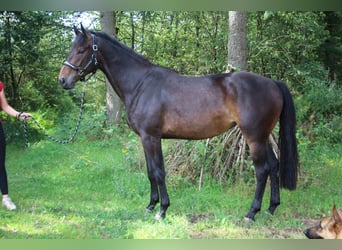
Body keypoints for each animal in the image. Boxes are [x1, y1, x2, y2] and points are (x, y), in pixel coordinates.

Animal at [57, 25, 298, 221]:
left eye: (81, 50)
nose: (63, 80)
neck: (140, 84)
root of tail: (273, 83)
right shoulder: (145, 139)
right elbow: (150, 172)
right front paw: (150, 206)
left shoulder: (152, 137)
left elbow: (159, 172)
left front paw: (162, 210)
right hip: (263, 136)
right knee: (274, 165)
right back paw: (271, 208)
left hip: (254, 137)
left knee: (262, 170)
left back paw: (252, 213)